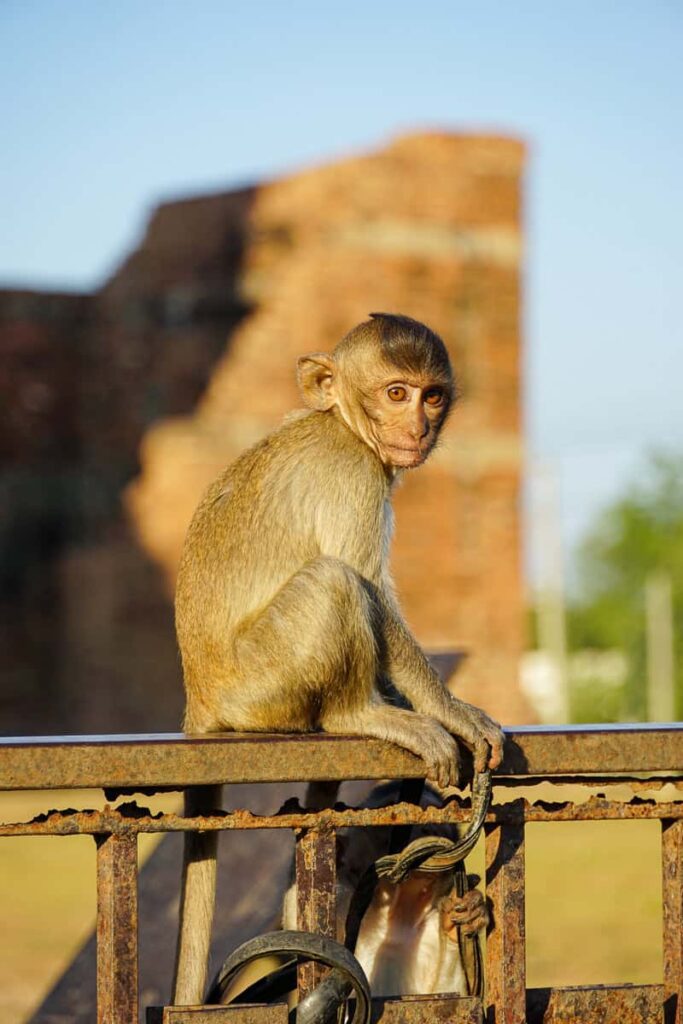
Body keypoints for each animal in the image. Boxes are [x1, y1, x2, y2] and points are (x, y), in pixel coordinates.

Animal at [172, 313, 504, 1004]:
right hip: (263, 684)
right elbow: (371, 585)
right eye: (396, 393)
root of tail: (200, 695)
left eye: (432, 395)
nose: (418, 427)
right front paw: (451, 709)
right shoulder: (353, 476)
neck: (343, 424)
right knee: (336, 582)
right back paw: (363, 714)